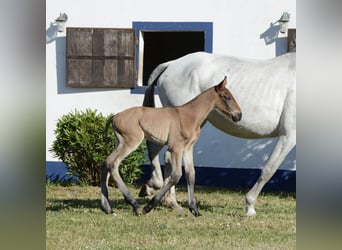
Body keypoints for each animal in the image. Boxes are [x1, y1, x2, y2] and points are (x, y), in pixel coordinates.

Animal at [140, 51, 296, 217]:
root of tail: (171, 64)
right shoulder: (288, 135)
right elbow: (269, 169)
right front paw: (250, 206)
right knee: (158, 151)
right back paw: (154, 188)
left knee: (167, 155)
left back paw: (171, 202)